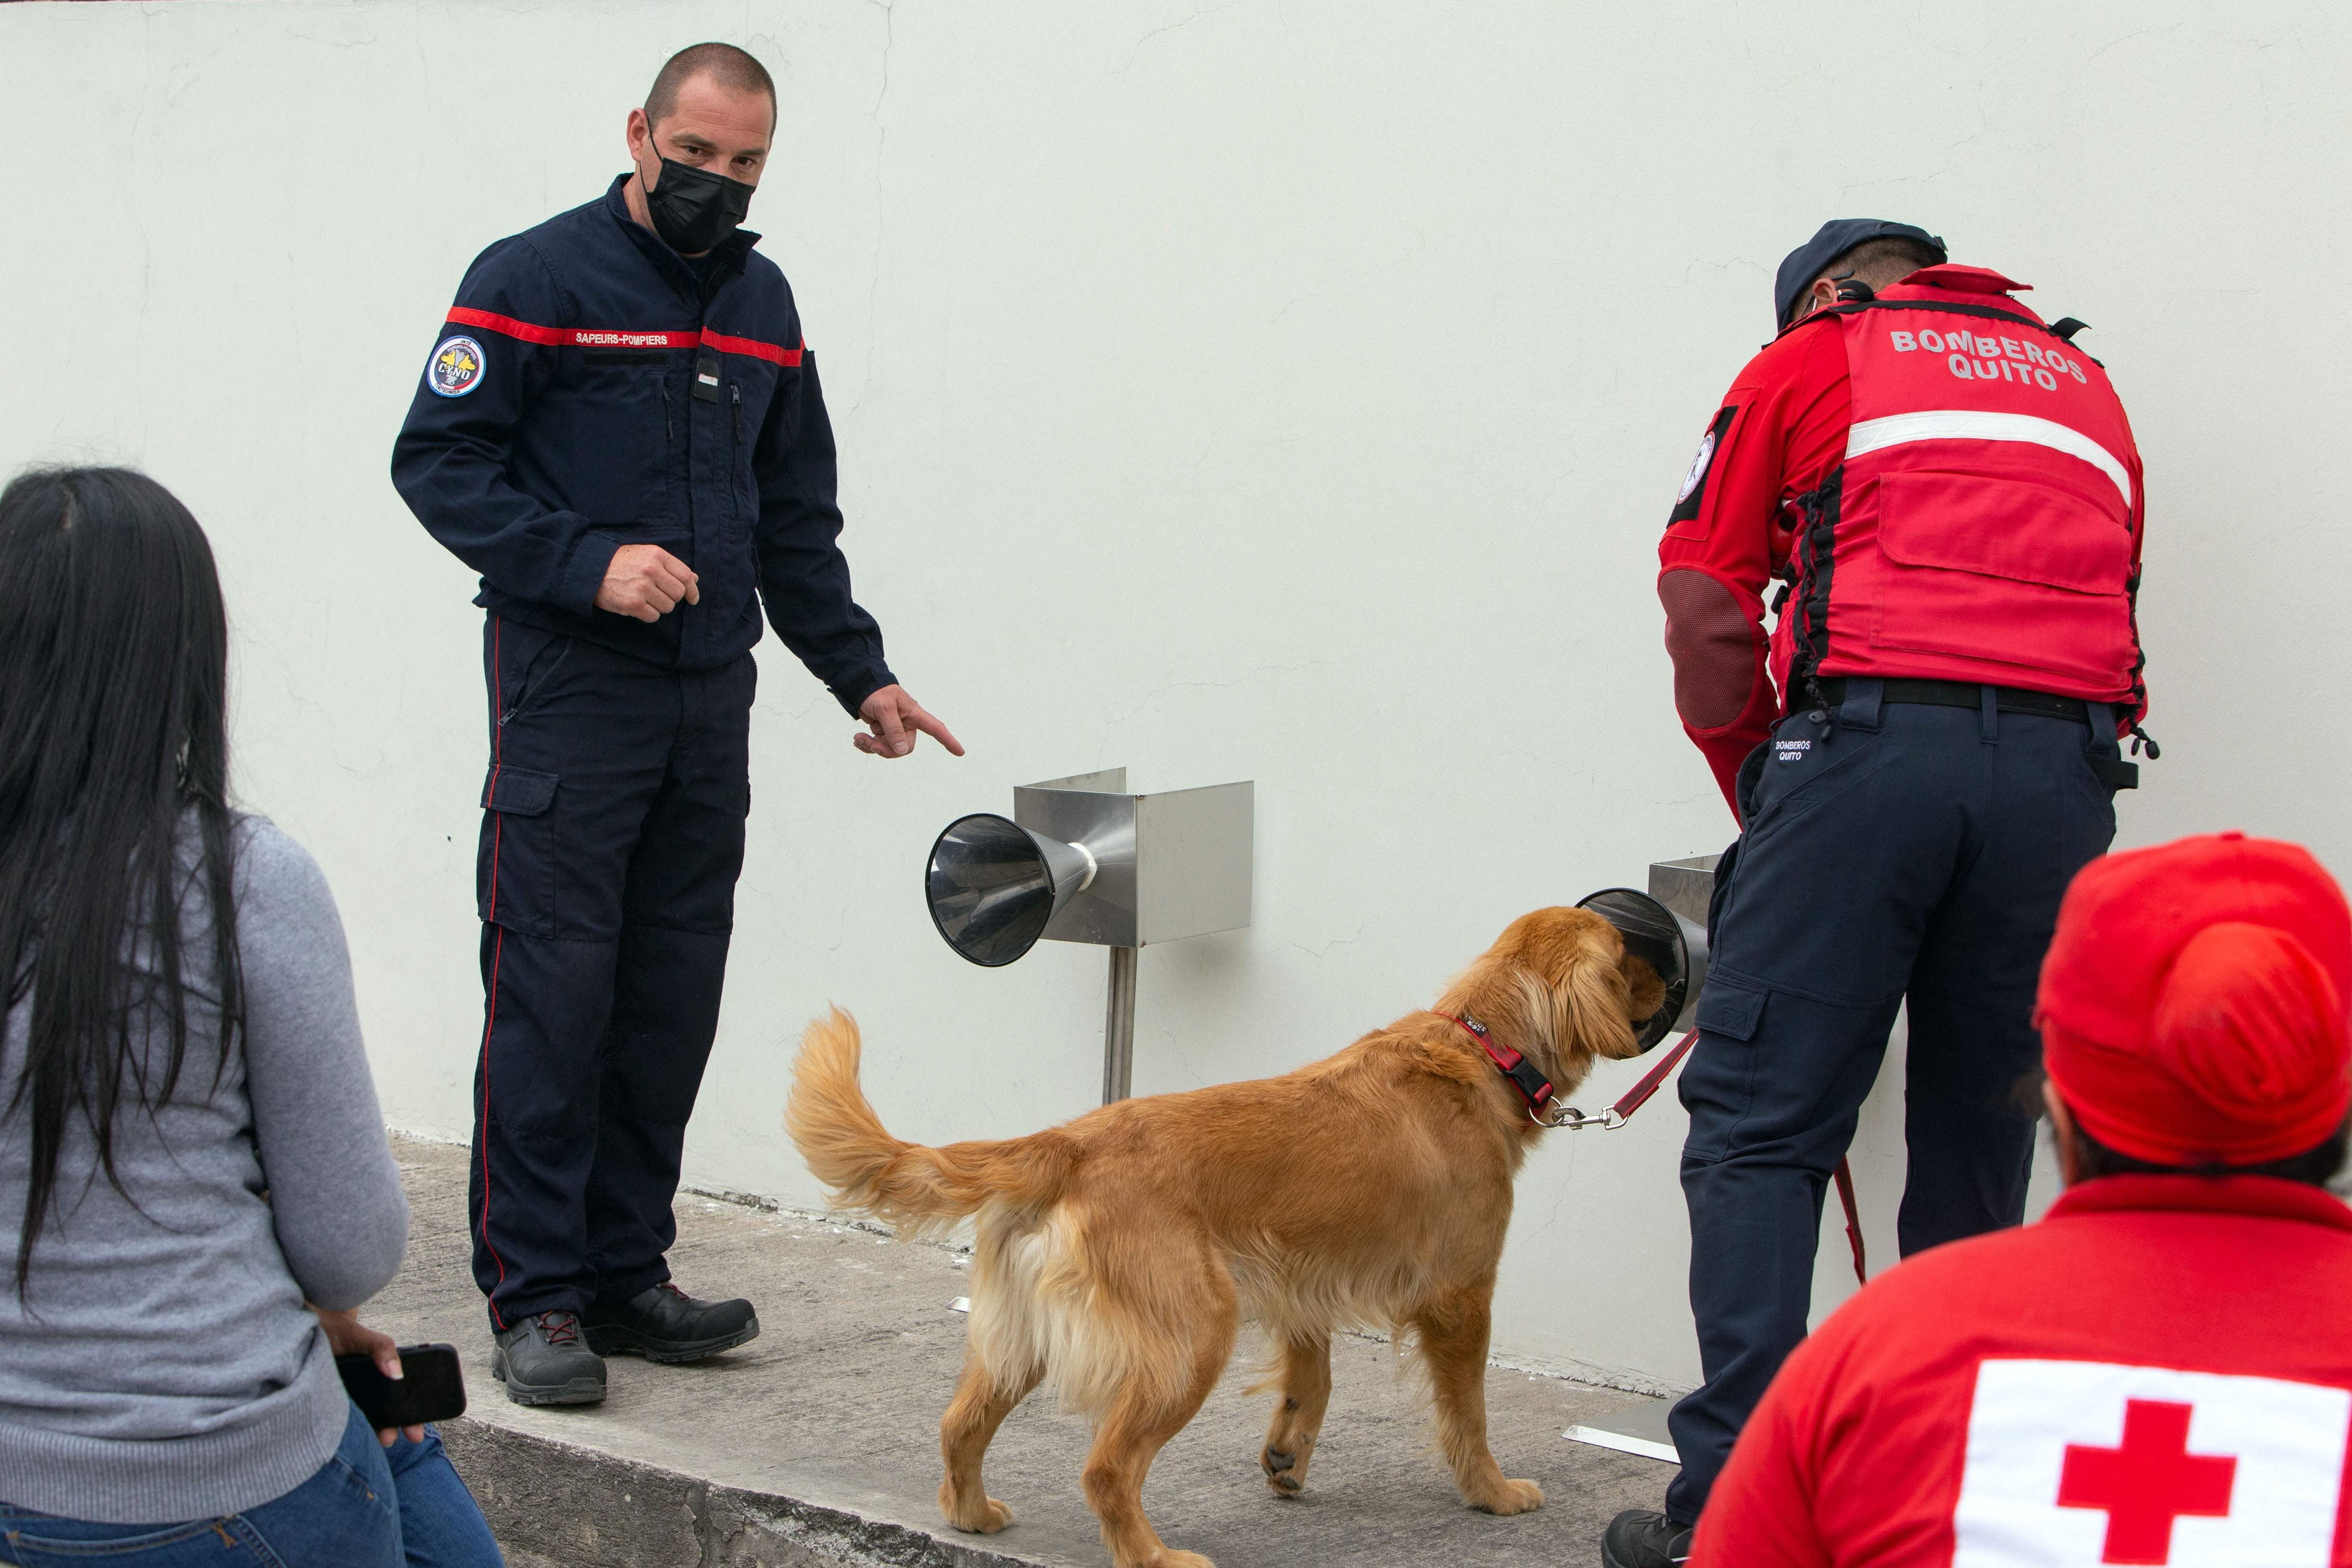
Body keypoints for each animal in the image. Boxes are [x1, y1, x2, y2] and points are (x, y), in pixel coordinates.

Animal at [785, 907, 1655, 1568]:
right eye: (1624, 953)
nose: (1670, 976)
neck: (1482, 1046)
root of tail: (1068, 1143)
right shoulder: (1461, 1298)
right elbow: (1468, 1415)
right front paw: (1492, 1492)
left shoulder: (1302, 1279)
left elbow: (1312, 1382)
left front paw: (1287, 1456)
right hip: (1194, 1334)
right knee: (1106, 1469)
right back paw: (1153, 1556)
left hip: (1020, 1339)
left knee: (959, 1425)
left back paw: (971, 1513)